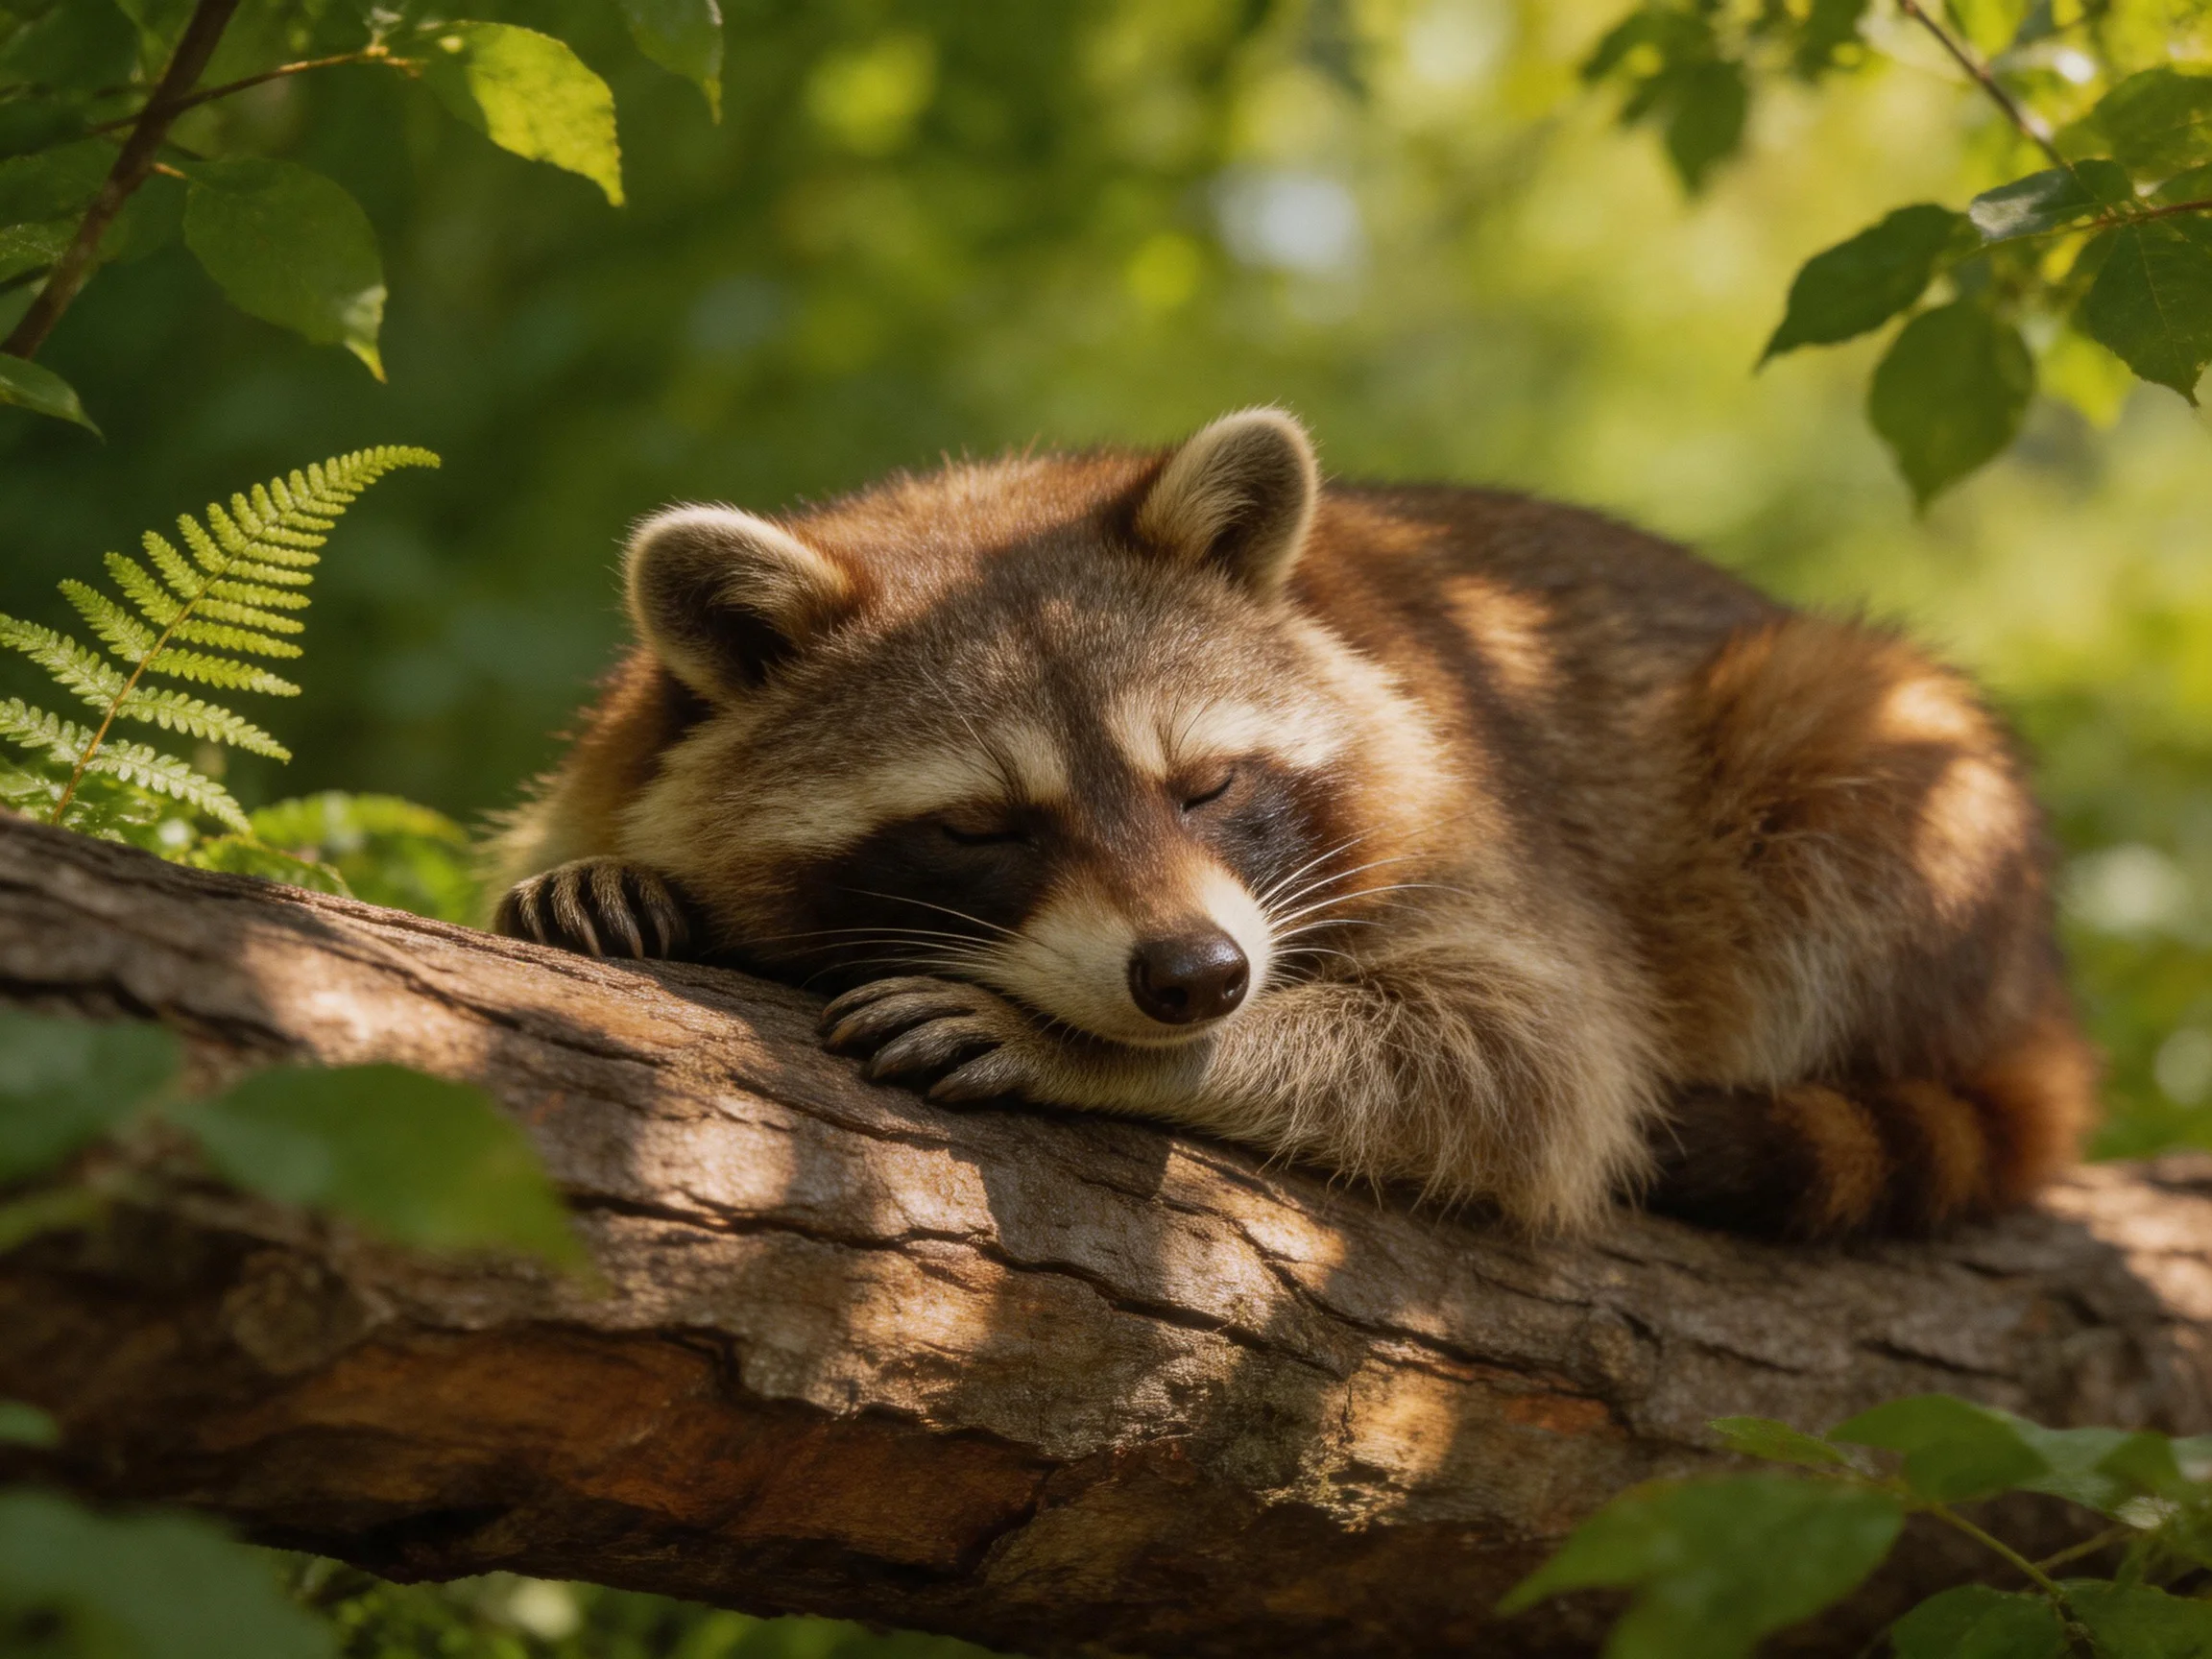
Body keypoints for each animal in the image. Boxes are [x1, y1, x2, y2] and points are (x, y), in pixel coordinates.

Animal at [487, 408, 2096, 1237]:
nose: (1195, 980)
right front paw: (613, 881)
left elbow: (1533, 1066)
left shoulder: (1470, 815)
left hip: (1876, 772)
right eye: (985, 827)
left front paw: (1106, 1053)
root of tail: (2038, 989)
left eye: (1207, 785)